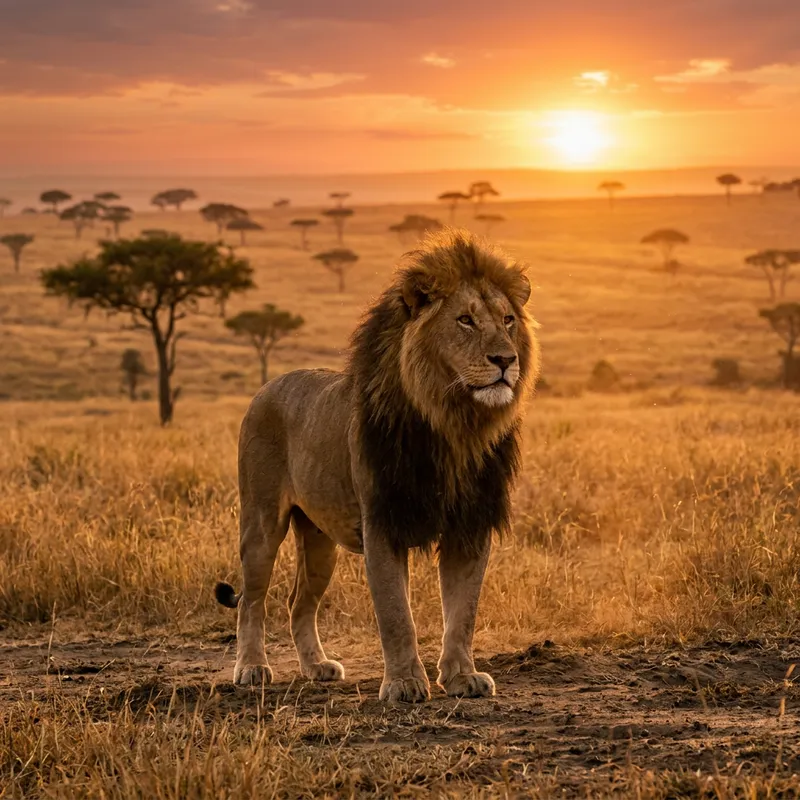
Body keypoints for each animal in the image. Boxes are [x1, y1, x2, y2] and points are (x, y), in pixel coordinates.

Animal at [215, 229, 539, 703]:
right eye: (465, 320)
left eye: (508, 320)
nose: (506, 360)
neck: (453, 424)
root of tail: (268, 385)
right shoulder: (383, 521)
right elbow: (395, 613)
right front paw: (404, 682)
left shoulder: (470, 525)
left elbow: (463, 612)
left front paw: (462, 676)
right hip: (261, 523)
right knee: (253, 600)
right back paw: (252, 668)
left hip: (319, 540)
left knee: (299, 602)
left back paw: (316, 667)